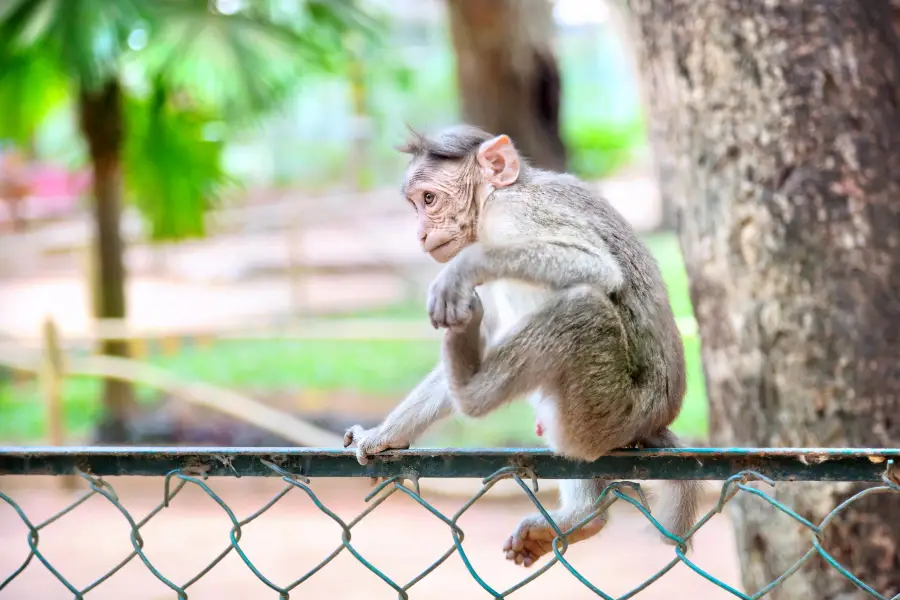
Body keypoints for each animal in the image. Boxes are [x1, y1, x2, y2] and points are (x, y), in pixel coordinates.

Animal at [342, 124, 700, 564]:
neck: (497, 197)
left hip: (607, 409)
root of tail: (653, 421)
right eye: (416, 204)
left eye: (428, 199)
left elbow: (595, 266)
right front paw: (383, 435)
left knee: (584, 305)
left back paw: (470, 389)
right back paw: (586, 516)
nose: (421, 234)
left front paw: (466, 265)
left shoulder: (513, 213)